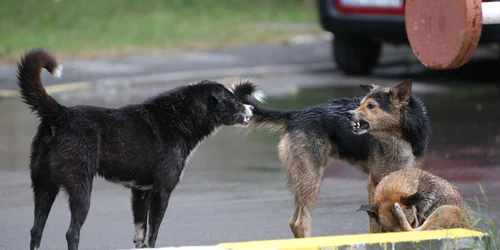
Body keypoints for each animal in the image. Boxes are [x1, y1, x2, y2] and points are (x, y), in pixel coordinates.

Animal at [17, 49, 256, 250]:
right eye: (232, 100)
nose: (252, 108)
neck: (178, 119)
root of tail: (61, 114)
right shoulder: (162, 192)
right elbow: (153, 235)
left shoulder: (141, 193)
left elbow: (140, 235)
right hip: (80, 189)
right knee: (71, 233)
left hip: (44, 186)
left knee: (35, 230)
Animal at [232, 79, 432, 236]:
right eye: (361, 103)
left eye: (371, 106)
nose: (349, 114)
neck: (398, 136)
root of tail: (296, 115)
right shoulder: (374, 182)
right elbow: (376, 226)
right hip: (311, 179)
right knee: (301, 222)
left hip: (303, 179)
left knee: (293, 221)